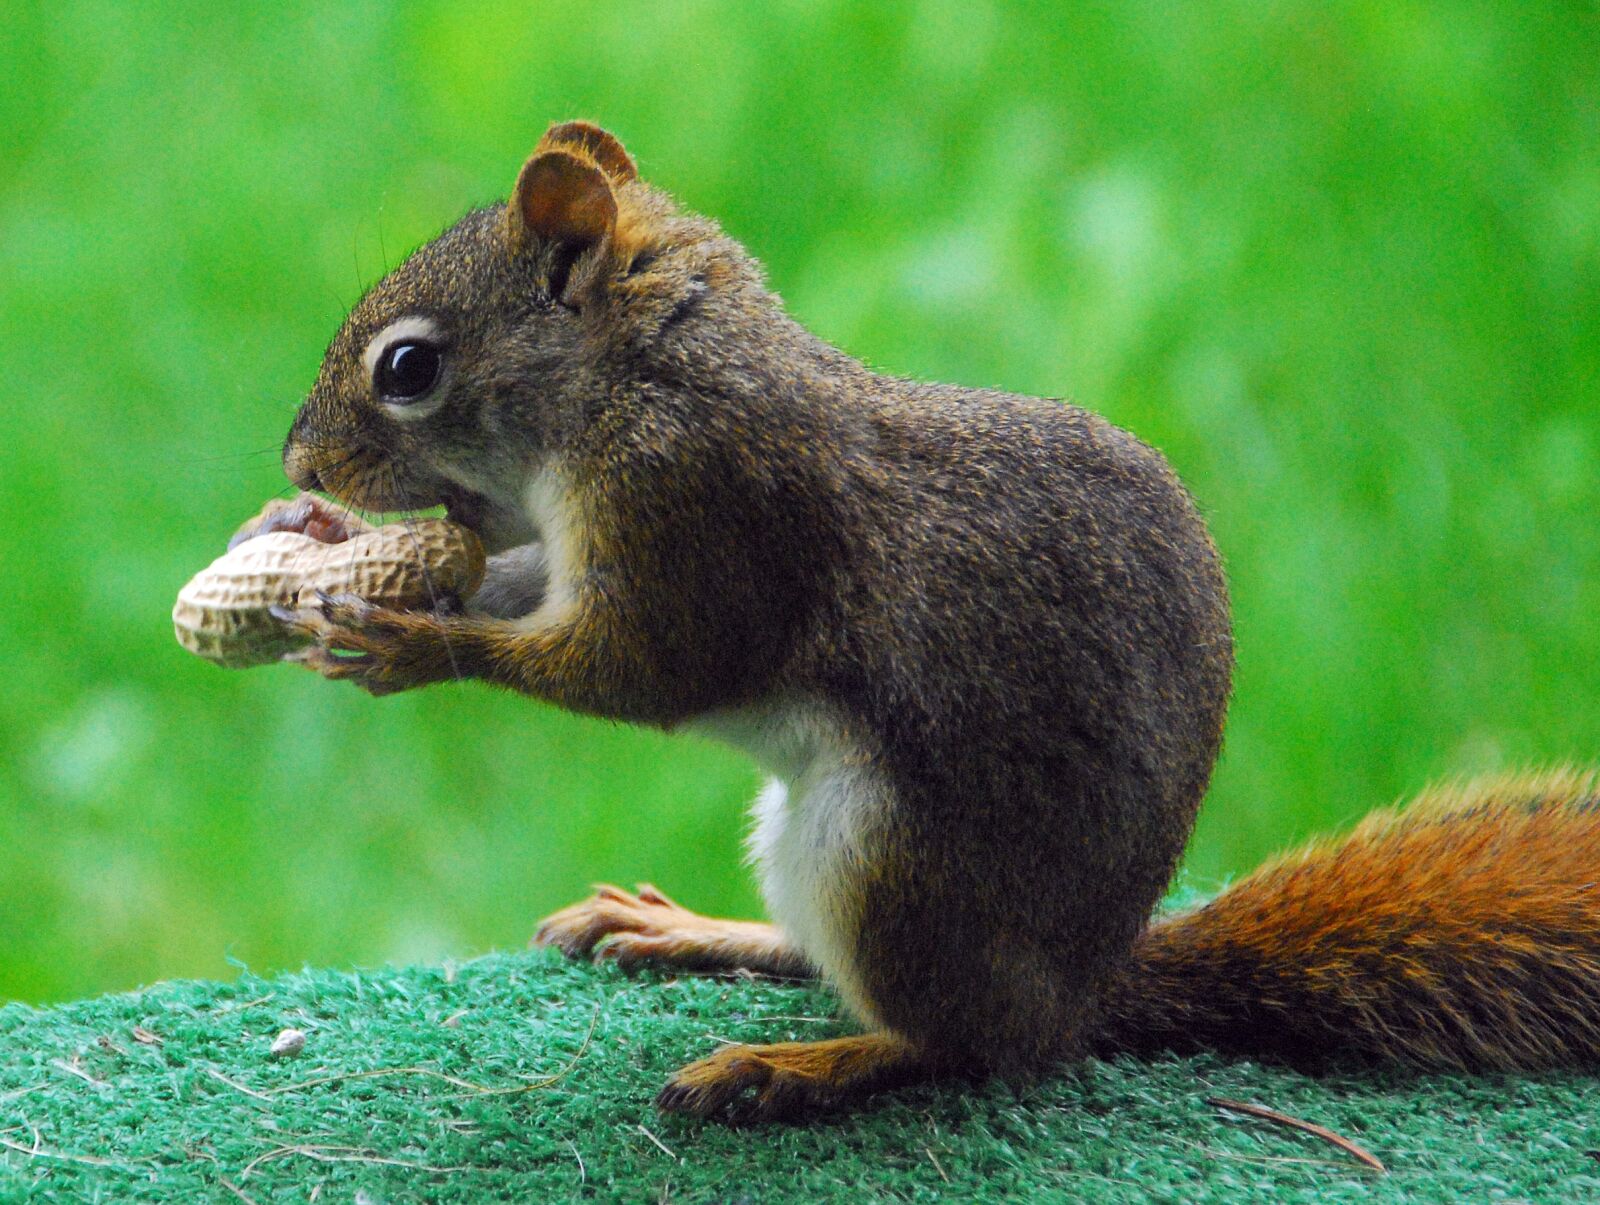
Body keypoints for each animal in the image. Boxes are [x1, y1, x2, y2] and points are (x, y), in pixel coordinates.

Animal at [275, 121, 1600, 1121]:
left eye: (407, 369)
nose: (298, 457)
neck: (637, 373)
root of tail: (1083, 989)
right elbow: (519, 585)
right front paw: (329, 543)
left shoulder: (700, 504)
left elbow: (646, 667)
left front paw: (410, 643)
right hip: (806, 840)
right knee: (833, 964)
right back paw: (697, 930)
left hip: (884, 859)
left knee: (961, 1044)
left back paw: (795, 1064)